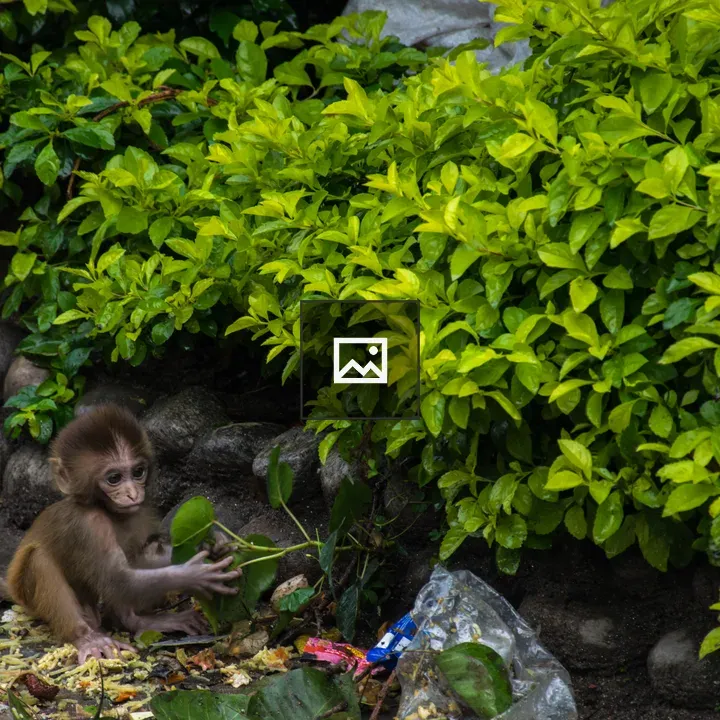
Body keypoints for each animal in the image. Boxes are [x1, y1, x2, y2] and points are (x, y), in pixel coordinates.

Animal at [4, 404, 241, 664]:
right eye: (114, 478)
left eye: (138, 472)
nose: (132, 493)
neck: (108, 511)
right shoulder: (89, 525)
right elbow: (116, 580)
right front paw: (194, 576)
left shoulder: (142, 511)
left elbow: (144, 555)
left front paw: (212, 547)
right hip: (30, 597)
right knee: (39, 560)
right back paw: (88, 637)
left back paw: (138, 621)